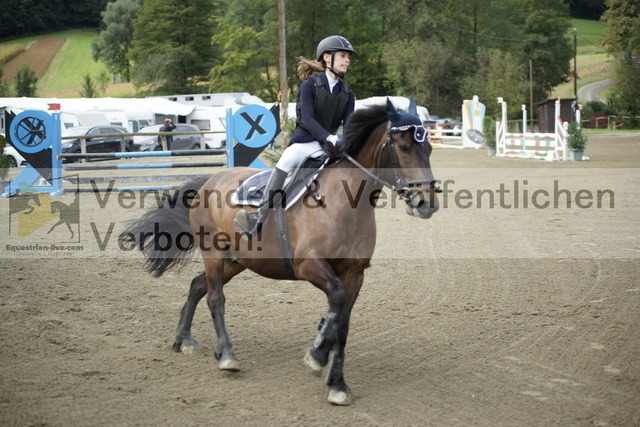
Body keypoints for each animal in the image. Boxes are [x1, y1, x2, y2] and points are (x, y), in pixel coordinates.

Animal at [124, 100, 440, 405]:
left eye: (428, 148)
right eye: (403, 148)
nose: (427, 203)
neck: (346, 203)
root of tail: (209, 181)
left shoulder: (355, 275)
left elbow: (343, 323)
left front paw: (337, 383)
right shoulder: (309, 266)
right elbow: (336, 302)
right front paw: (317, 355)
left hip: (236, 260)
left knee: (197, 286)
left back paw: (184, 339)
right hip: (213, 252)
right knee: (215, 299)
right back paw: (226, 355)